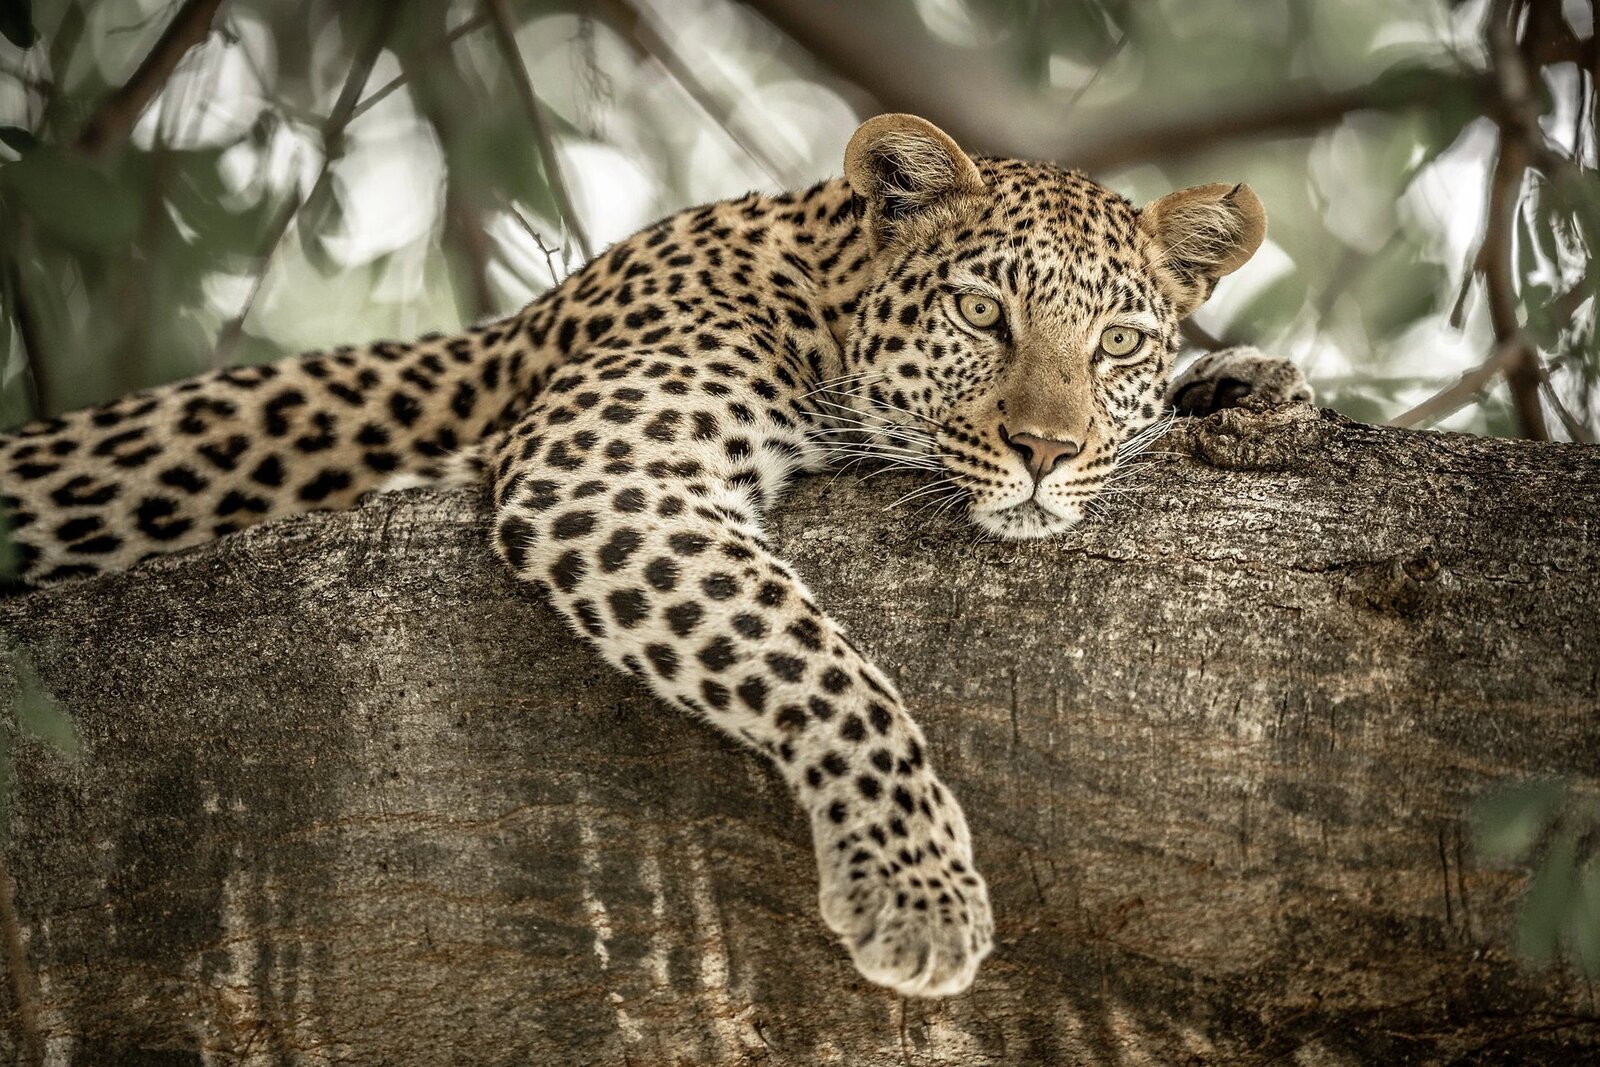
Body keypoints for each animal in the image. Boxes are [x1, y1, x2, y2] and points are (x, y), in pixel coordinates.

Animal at [0, 114, 1310, 997]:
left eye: (1120, 341)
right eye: (983, 313)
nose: (1046, 449)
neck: (814, 291)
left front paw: (1242, 383)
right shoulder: (602, 470)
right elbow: (826, 667)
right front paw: (915, 882)